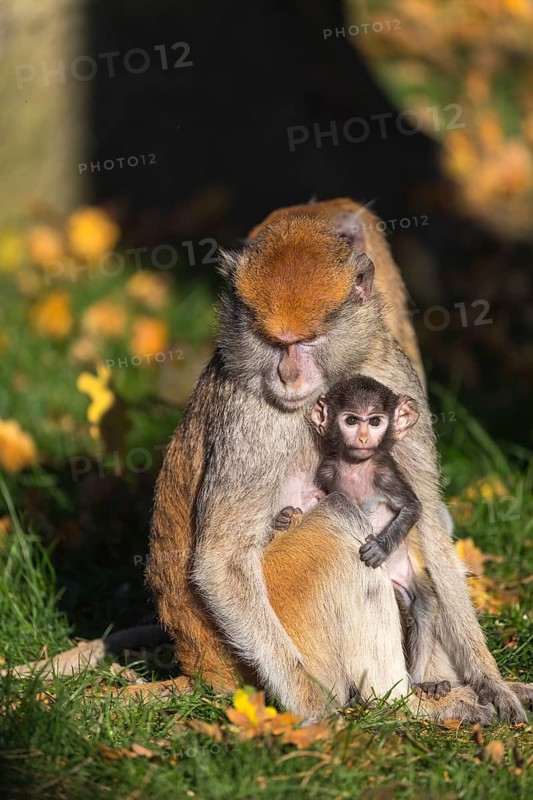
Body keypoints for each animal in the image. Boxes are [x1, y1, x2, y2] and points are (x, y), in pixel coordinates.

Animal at [147, 198, 533, 724]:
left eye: (306, 342)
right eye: (275, 344)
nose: (288, 376)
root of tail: (203, 669)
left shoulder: (391, 370)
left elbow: (428, 522)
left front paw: (492, 681)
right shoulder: (252, 415)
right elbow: (221, 562)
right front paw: (316, 715)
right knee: (335, 523)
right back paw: (404, 702)